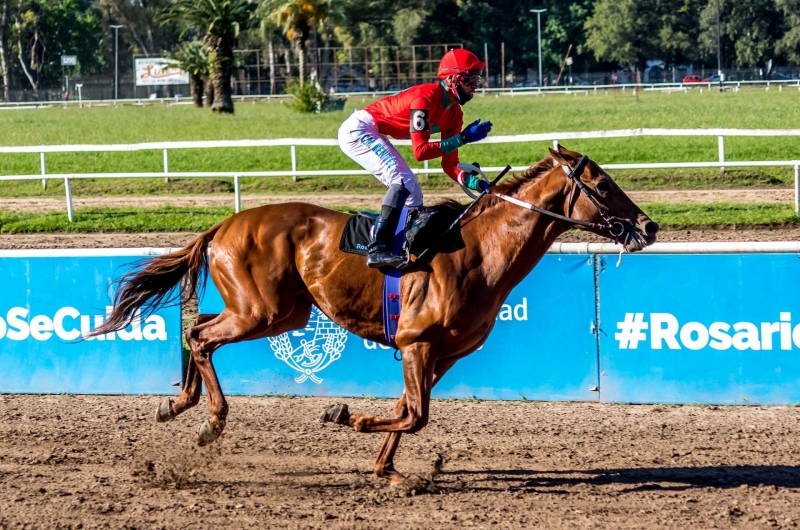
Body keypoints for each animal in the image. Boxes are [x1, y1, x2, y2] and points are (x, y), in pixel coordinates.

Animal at [90, 144, 660, 482]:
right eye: (603, 186)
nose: (648, 227)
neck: (480, 251)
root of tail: (224, 225)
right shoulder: (416, 341)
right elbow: (414, 413)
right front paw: (344, 415)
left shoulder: (440, 354)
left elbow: (411, 411)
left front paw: (388, 469)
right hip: (262, 311)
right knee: (203, 337)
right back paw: (209, 421)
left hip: (282, 313)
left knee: (198, 325)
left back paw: (177, 403)